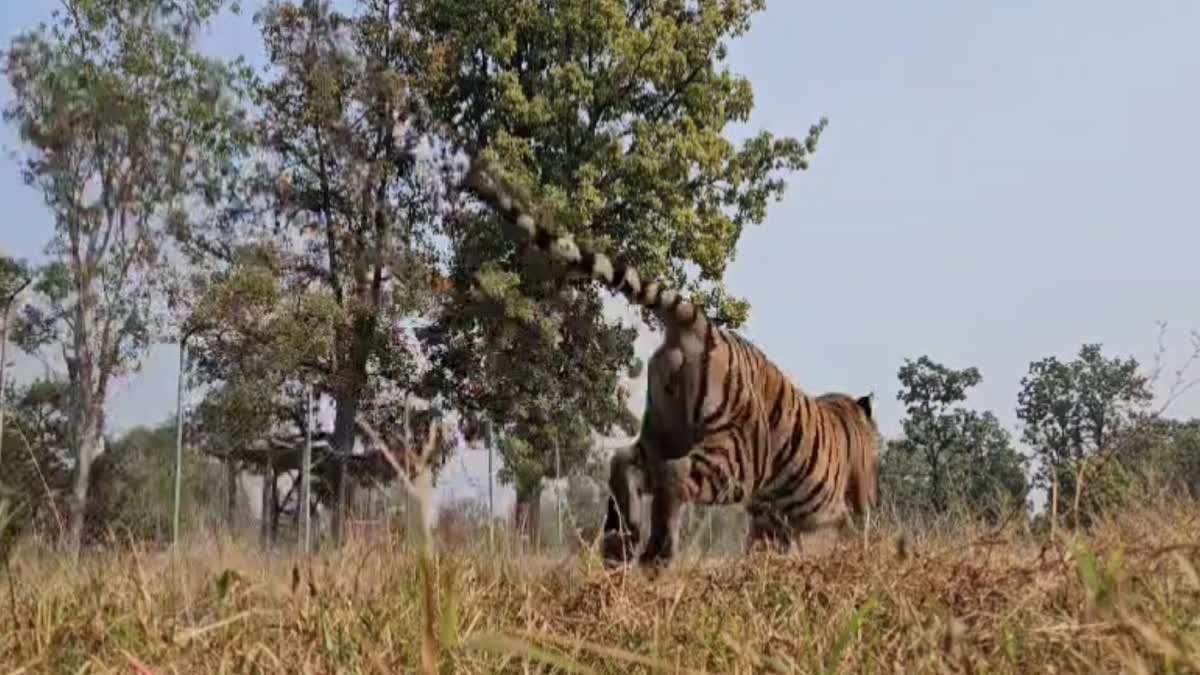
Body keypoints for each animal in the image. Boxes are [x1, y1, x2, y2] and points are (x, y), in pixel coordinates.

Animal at [458, 154, 883, 564]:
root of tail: (699, 326)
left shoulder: (769, 518)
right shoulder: (852, 506)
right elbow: (854, 537)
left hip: (664, 431)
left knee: (625, 463)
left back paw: (621, 539)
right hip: (739, 458)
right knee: (675, 476)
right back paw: (655, 551)